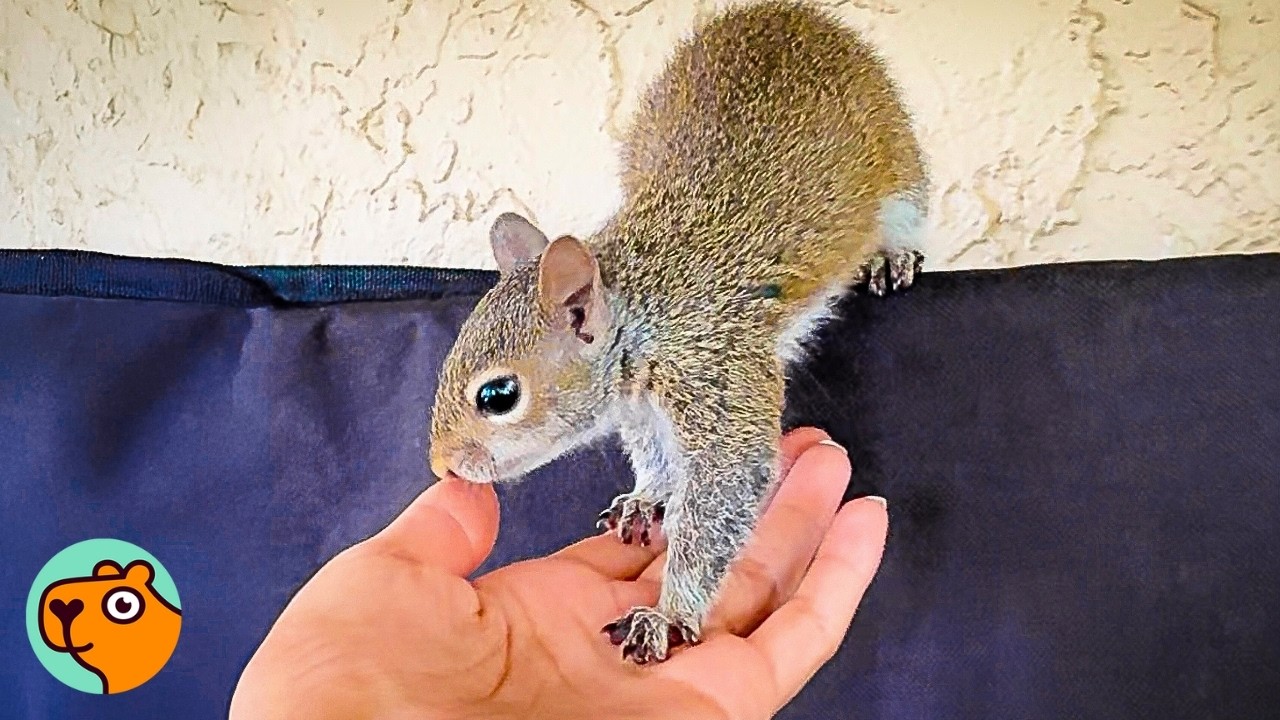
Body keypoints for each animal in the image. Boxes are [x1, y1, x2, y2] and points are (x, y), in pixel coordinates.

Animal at [428, 0, 929, 665]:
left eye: (498, 395)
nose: (441, 467)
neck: (646, 313)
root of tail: (792, 16)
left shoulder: (715, 370)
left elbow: (726, 483)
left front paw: (665, 615)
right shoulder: (644, 408)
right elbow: (657, 454)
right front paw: (648, 495)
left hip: (899, 162)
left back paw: (892, 255)